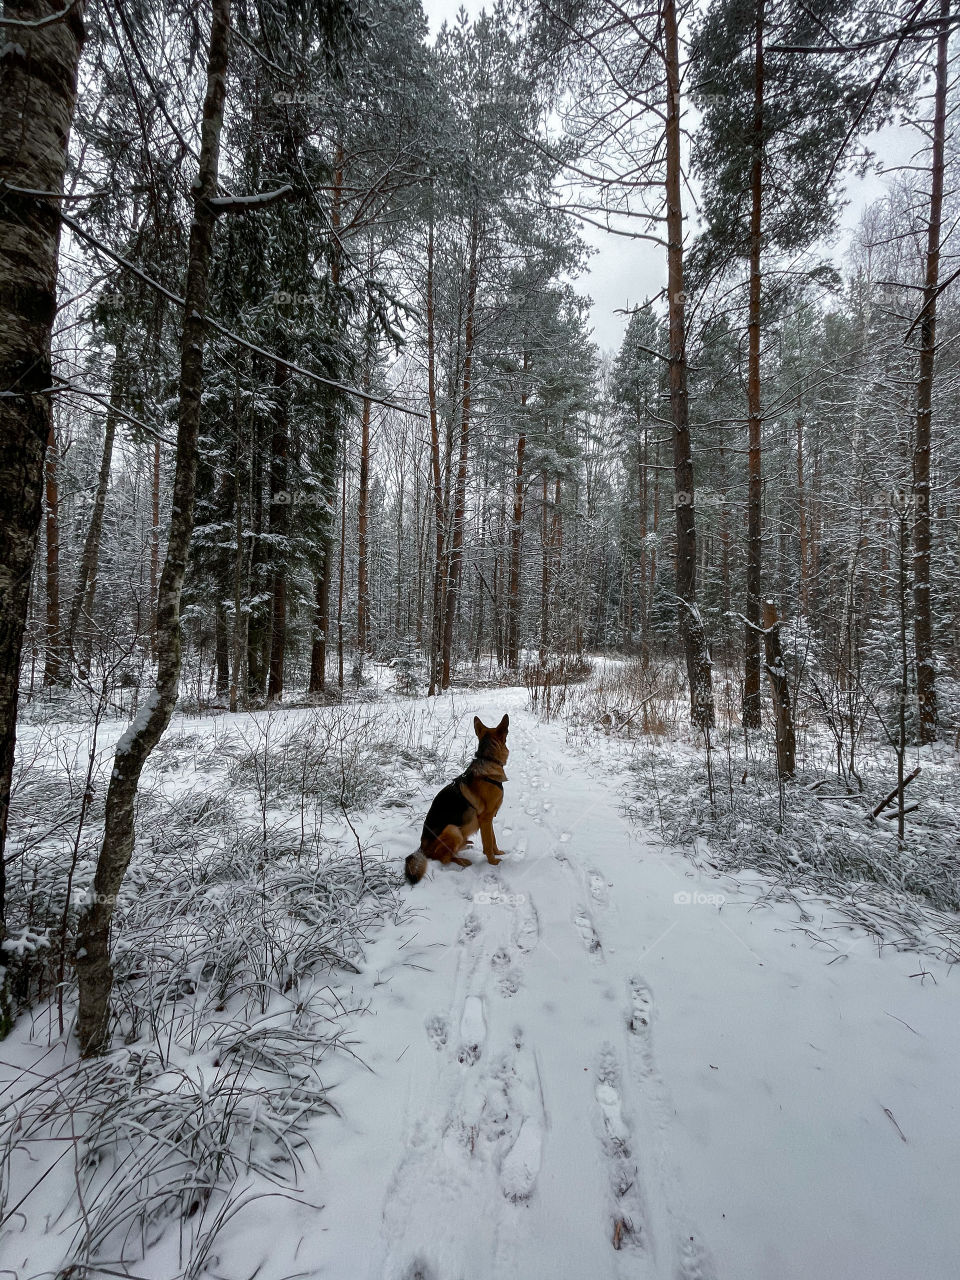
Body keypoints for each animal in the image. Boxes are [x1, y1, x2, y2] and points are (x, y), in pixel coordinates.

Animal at [407, 716, 512, 885]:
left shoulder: (488, 819)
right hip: (452, 830)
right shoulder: (485, 818)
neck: (487, 759)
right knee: (443, 857)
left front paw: (497, 853)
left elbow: (493, 839)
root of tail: (421, 849)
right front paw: (493, 862)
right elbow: (488, 843)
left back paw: (466, 845)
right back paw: (462, 860)